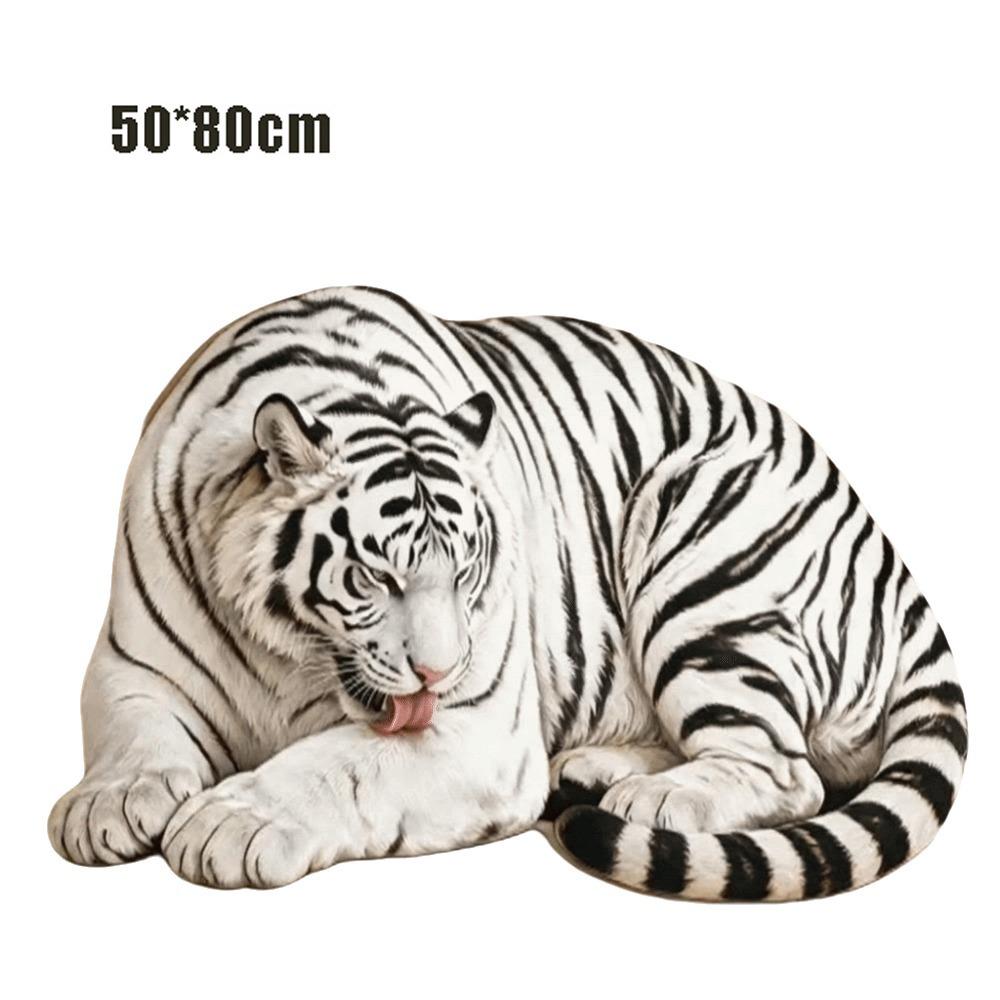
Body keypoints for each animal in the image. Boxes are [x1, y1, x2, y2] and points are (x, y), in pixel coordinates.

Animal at [48, 285, 966, 900]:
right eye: (374, 575)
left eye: (465, 572)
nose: (437, 674)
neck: (286, 650)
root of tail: (889, 552)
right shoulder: (131, 661)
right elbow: (133, 733)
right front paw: (108, 806)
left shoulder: (476, 729)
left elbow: (340, 764)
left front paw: (232, 821)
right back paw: (597, 768)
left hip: (700, 549)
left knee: (788, 770)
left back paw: (655, 796)